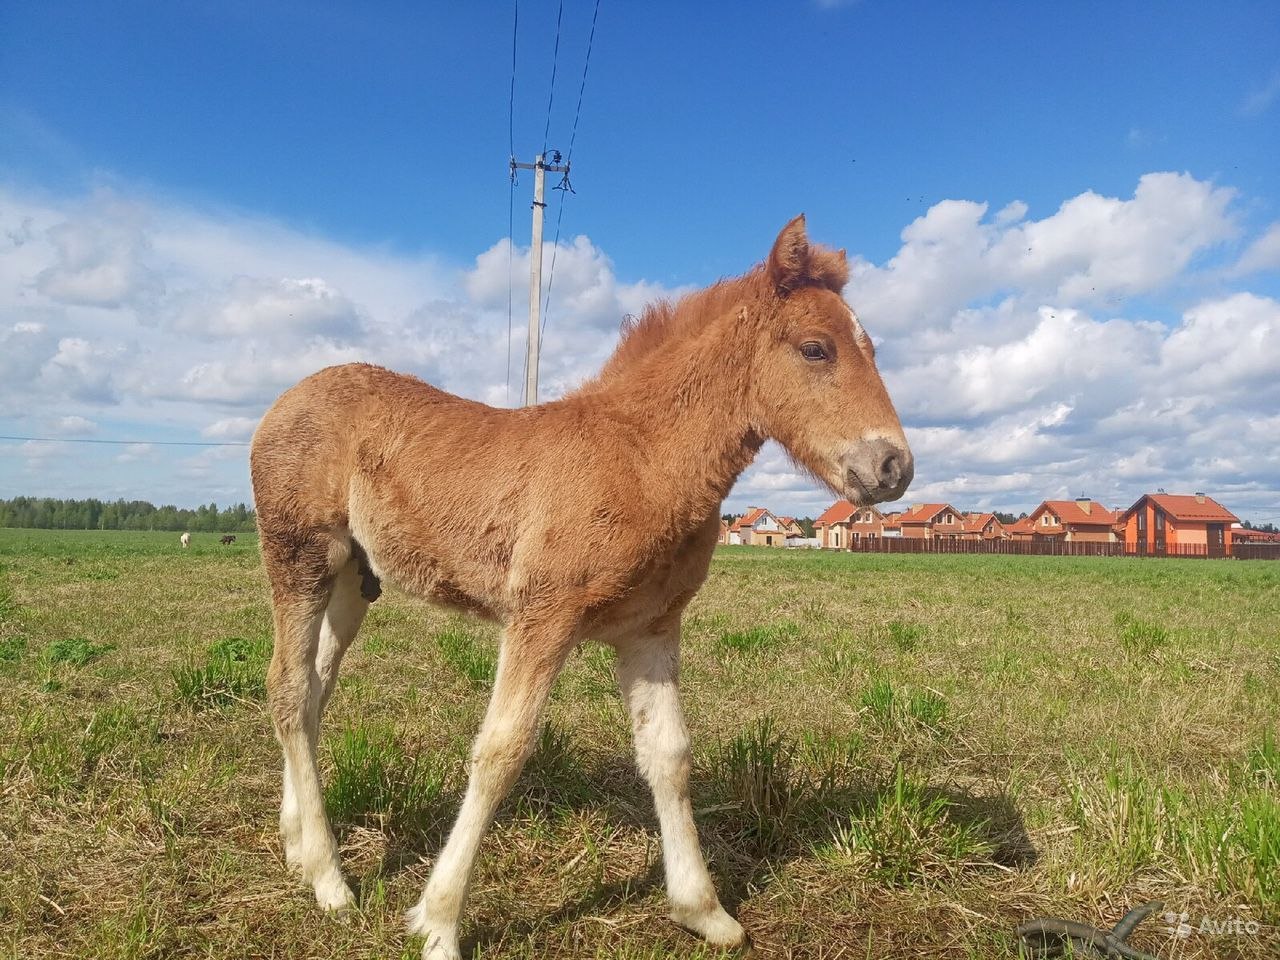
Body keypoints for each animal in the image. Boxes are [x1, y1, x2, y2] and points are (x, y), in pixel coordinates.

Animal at [249, 217, 911, 960]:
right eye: (816, 348)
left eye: (872, 347)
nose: (894, 466)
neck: (641, 457)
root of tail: (287, 398)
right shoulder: (543, 616)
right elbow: (501, 750)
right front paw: (440, 922)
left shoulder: (651, 628)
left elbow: (669, 755)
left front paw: (703, 909)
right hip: (300, 557)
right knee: (288, 688)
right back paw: (330, 880)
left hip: (352, 581)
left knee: (314, 690)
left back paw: (298, 845)